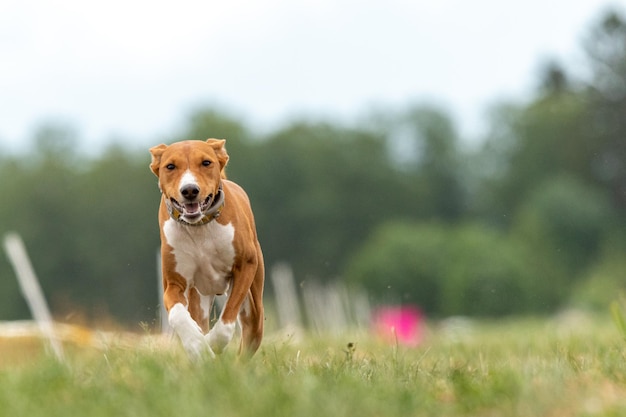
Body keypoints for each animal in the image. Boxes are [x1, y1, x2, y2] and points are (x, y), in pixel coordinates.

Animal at [149, 139, 264, 358]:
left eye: (206, 162)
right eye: (170, 166)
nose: (189, 190)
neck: (199, 229)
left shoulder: (245, 266)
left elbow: (226, 322)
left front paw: (211, 343)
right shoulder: (174, 282)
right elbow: (178, 315)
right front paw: (197, 346)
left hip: (254, 305)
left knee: (250, 336)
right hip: (199, 298)